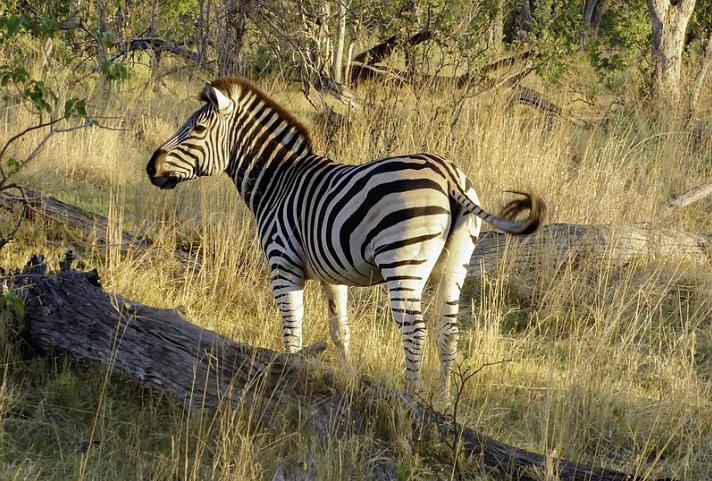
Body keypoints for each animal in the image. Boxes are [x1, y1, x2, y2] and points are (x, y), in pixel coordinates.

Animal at [146, 77, 544, 400]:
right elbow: (341, 331)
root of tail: (449, 174)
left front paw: (288, 373)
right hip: (456, 262)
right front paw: (349, 380)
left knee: (414, 332)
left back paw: (410, 403)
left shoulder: (283, 265)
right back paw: (443, 407)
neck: (277, 183)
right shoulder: (331, 274)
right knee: (449, 332)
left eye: (197, 128)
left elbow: (292, 329)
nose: (151, 167)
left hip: (402, 262)